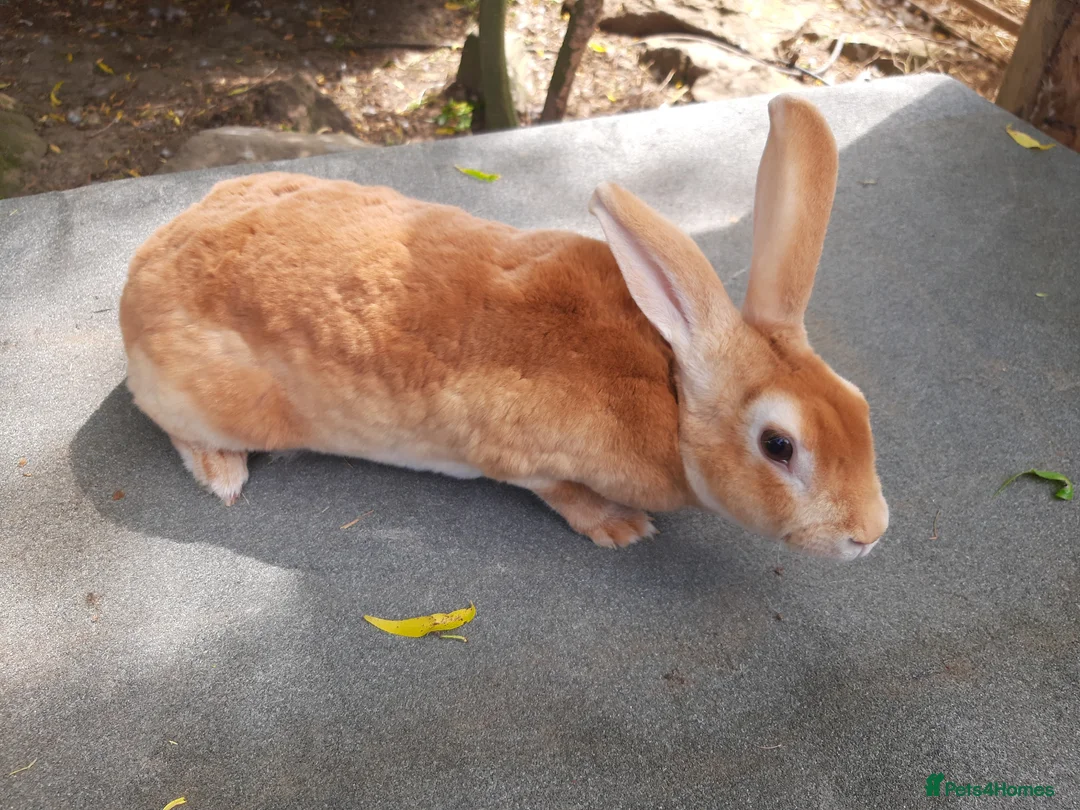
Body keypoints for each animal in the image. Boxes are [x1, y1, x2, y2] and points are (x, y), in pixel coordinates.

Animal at [119, 93, 888, 560]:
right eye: (779, 446)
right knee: (180, 431)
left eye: (859, 404)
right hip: (216, 402)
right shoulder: (523, 456)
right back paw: (224, 476)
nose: (870, 534)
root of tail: (138, 279)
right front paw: (622, 528)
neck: (669, 389)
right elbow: (563, 494)